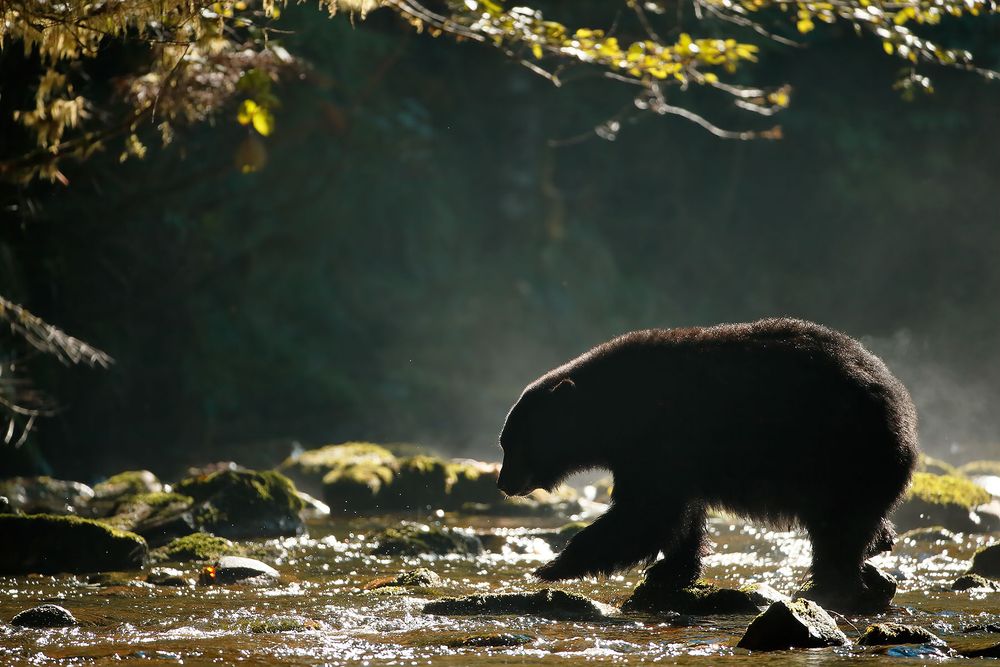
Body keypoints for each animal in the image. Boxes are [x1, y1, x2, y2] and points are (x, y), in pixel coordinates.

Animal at [497, 317, 918, 601]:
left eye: (511, 444)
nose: (503, 483)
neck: (617, 412)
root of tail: (901, 404)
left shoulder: (659, 439)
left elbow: (644, 513)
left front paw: (553, 566)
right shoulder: (675, 458)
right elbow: (679, 515)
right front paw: (670, 570)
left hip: (840, 453)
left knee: (838, 531)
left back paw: (833, 584)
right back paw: (877, 556)